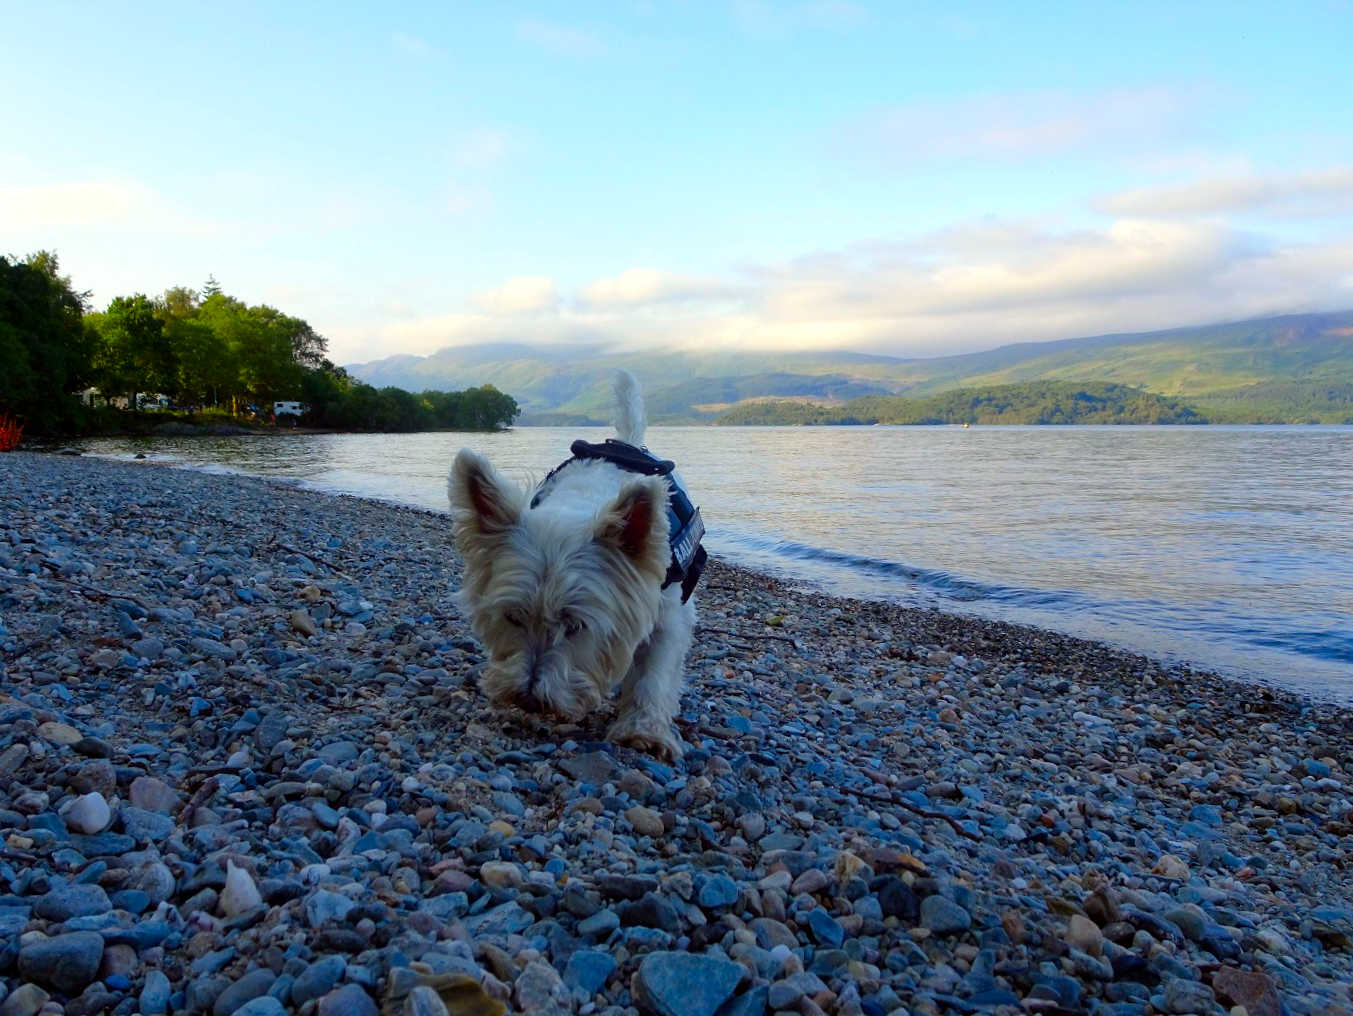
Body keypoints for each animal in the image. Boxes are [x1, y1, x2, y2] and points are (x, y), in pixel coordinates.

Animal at [454, 370, 708, 757]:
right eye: (512, 617)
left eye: (576, 627)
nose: (529, 698)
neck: (581, 504)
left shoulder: (670, 614)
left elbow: (655, 673)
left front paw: (644, 732)